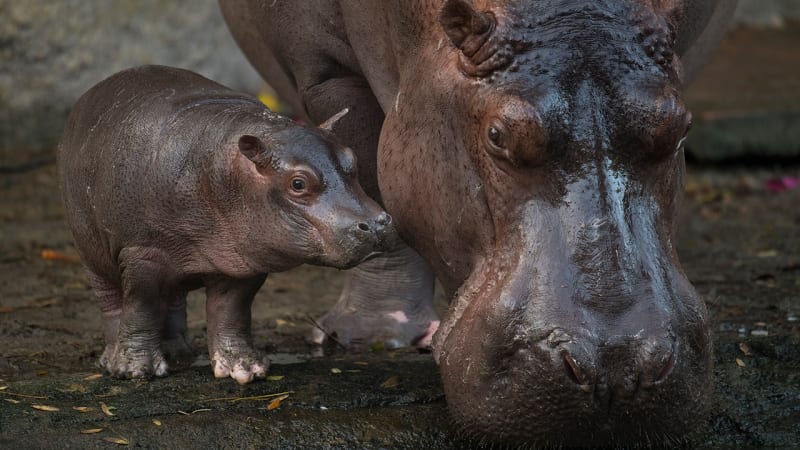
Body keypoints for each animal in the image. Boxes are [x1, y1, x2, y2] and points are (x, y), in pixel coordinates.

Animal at [57, 66, 396, 384]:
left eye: (353, 159)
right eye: (298, 183)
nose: (376, 224)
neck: (222, 171)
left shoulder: (241, 261)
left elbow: (231, 310)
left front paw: (246, 369)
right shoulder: (143, 253)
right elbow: (141, 305)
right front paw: (135, 371)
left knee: (174, 299)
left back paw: (179, 352)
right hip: (91, 252)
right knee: (112, 302)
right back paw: (111, 358)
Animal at [219, 0, 736, 444]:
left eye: (680, 127)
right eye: (498, 135)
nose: (617, 371)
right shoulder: (327, 70)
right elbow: (366, 173)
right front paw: (371, 336)